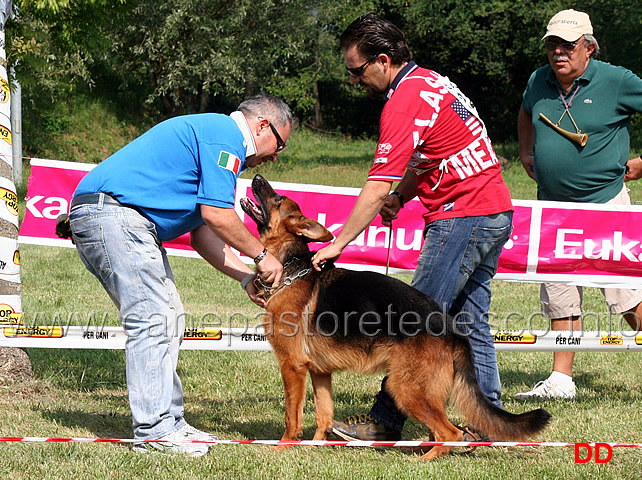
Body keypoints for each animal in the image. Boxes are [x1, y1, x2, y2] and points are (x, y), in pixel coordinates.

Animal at [240, 174, 552, 460]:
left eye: (278, 198)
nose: (256, 176)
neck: (291, 268)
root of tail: (450, 328)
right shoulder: (319, 371)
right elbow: (323, 415)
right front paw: (314, 447)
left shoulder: (292, 366)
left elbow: (292, 415)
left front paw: (284, 446)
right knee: (443, 430)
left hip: (404, 388)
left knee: (450, 432)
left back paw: (424, 459)